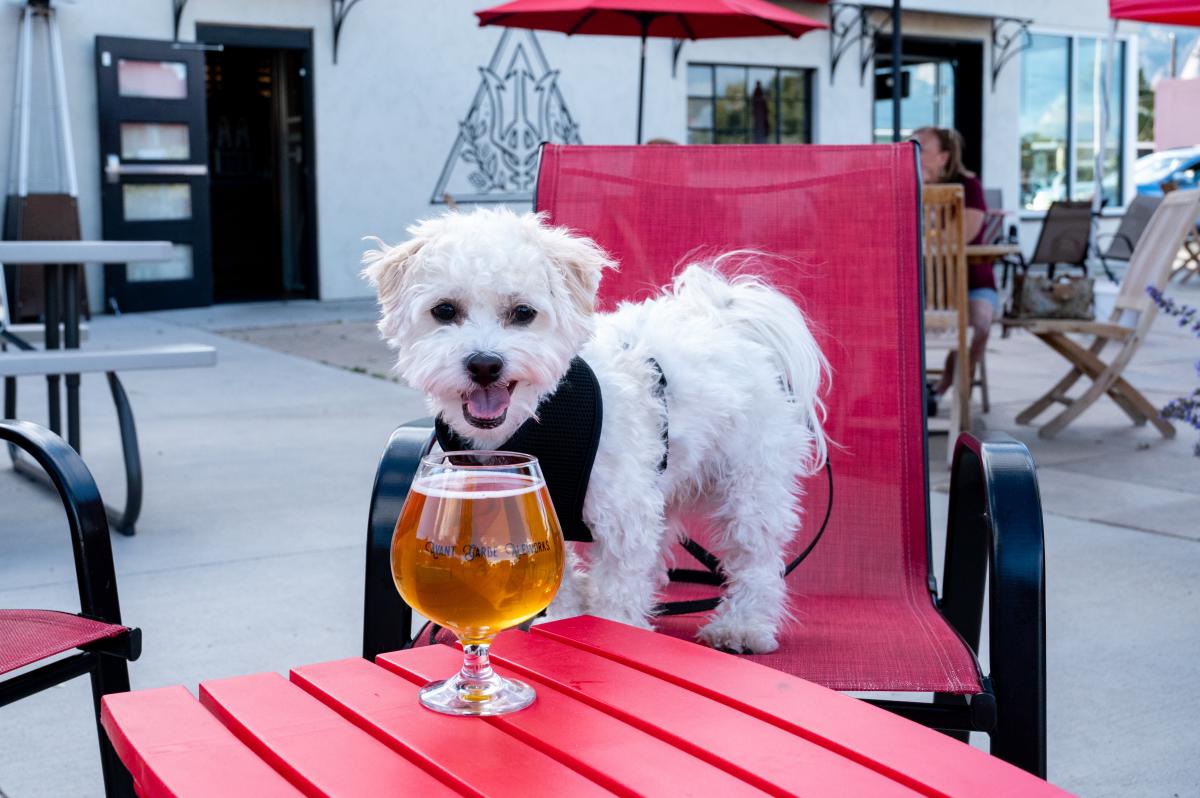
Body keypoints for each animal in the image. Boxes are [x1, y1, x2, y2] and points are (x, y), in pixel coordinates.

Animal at [362, 206, 825, 652]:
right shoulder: (543, 513)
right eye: (444, 310)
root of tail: (726, 320)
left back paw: (743, 625)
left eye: (523, 313)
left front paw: (609, 635)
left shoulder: (623, 514)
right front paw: (565, 621)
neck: (536, 417)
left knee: (755, 558)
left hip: (750, 483)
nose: (484, 364)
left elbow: (616, 591)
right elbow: (558, 577)